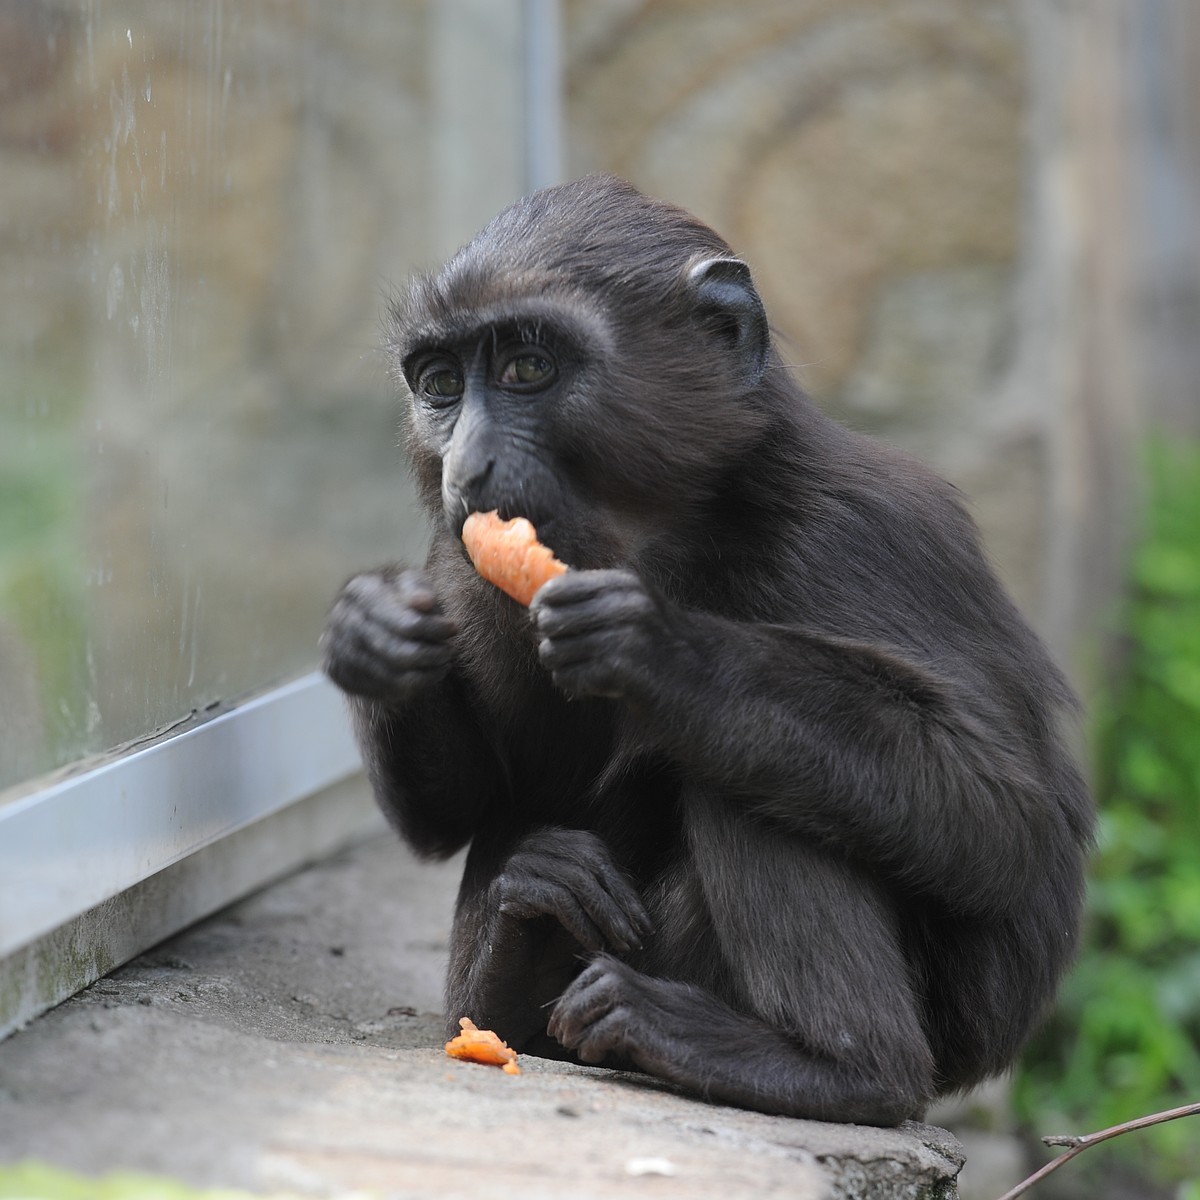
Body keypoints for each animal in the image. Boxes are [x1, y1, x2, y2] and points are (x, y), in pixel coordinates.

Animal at [321, 171, 1099, 1123]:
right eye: (439, 384)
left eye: (526, 369)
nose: (466, 471)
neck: (659, 535)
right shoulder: (458, 562)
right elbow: (463, 806)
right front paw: (373, 634)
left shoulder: (868, 531)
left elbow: (1011, 823)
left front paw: (663, 655)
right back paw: (514, 962)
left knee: (747, 772)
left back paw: (838, 1068)